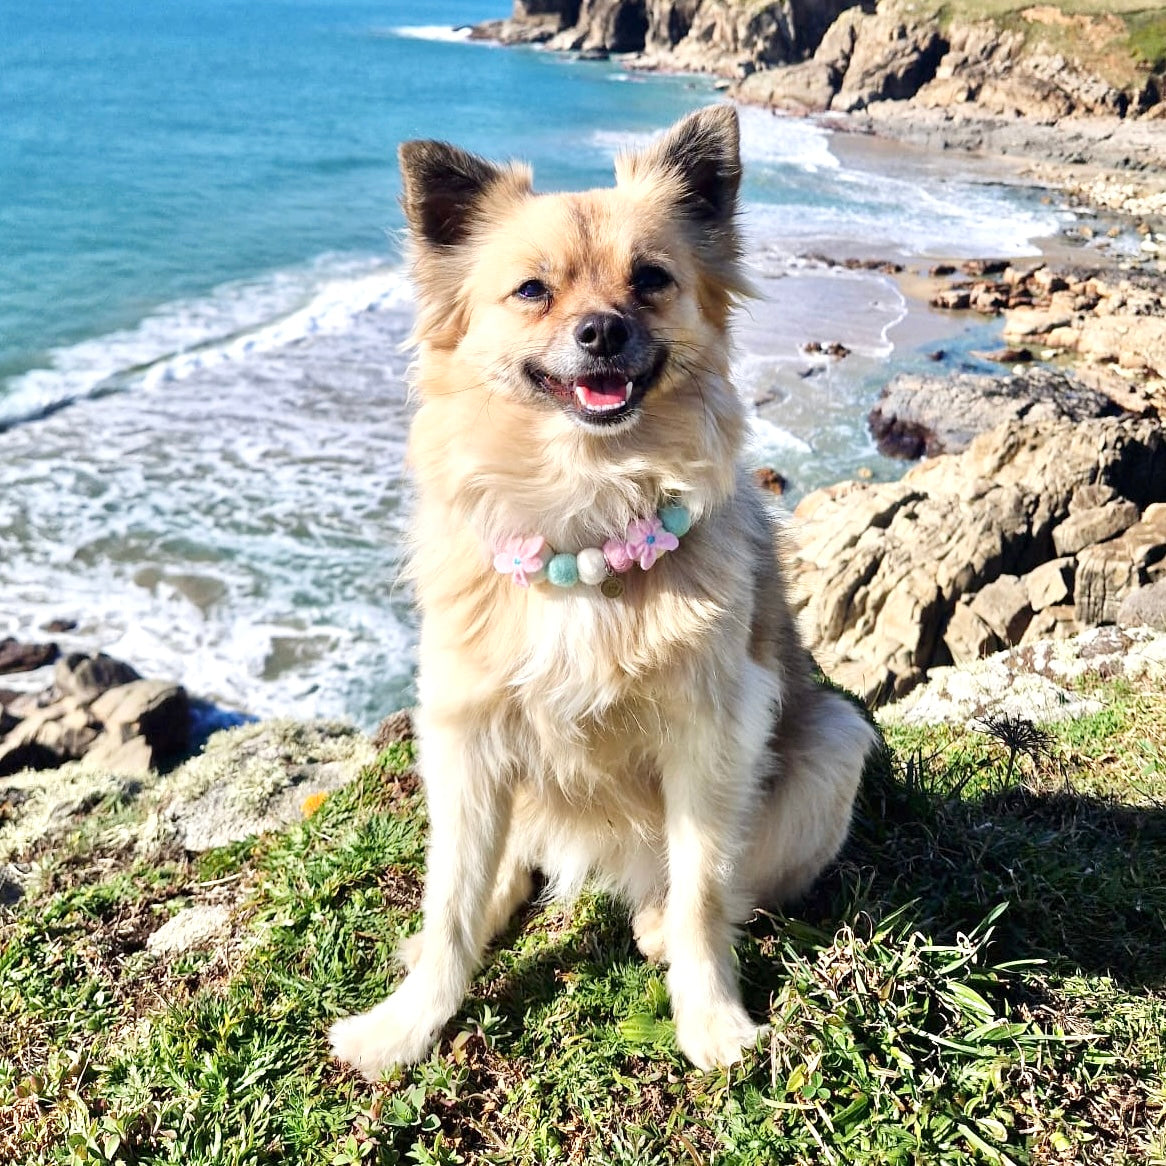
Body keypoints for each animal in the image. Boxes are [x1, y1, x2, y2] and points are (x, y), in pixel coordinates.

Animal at [328, 104, 876, 1077]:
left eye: (651, 280)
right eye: (532, 292)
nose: (602, 333)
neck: (584, 510)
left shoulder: (713, 735)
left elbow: (705, 891)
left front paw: (711, 1019)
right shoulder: (465, 735)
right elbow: (449, 897)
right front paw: (410, 1022)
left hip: (837, 740)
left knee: (726, 886)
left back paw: (655, 923)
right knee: (499, 865)